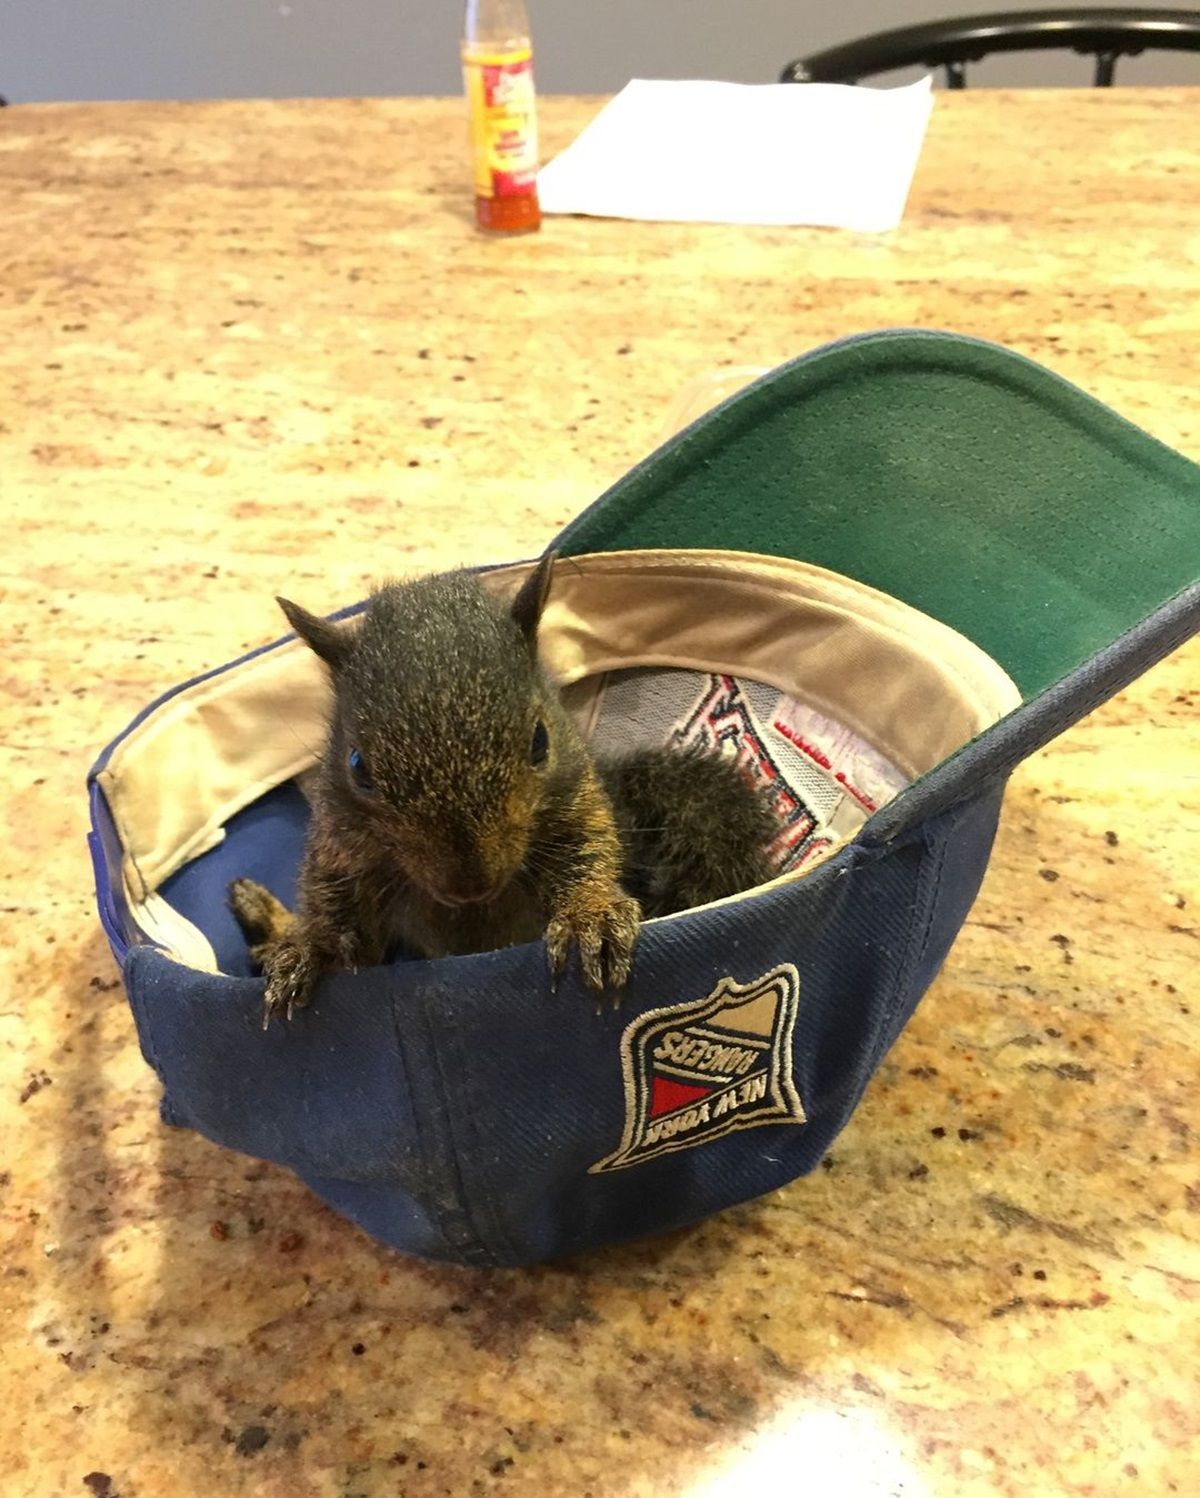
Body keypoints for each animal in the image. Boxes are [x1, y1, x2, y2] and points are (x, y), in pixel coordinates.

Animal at [229, 554, 777, 1025]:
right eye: (357, 766)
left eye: (540, 741)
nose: (469, 883)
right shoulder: (340, 846)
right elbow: (339, 919)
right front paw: (310, 947)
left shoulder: (578, 804)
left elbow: (590, 851)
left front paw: (591, 916)